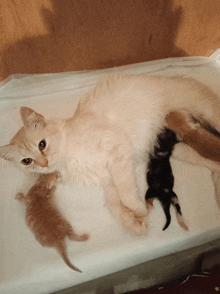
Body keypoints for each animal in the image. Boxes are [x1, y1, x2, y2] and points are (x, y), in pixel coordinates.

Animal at [1, 73, 220, 234]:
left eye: (42, 144)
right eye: (26, 161)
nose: (43, 163)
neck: (68, 156)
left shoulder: (118, 153)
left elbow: (126, 192)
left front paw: (139, 209)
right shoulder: (106, 177)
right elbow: (115, 207)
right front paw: (136, 223)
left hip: (206, 111)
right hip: (180, 149)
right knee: (214, 165)